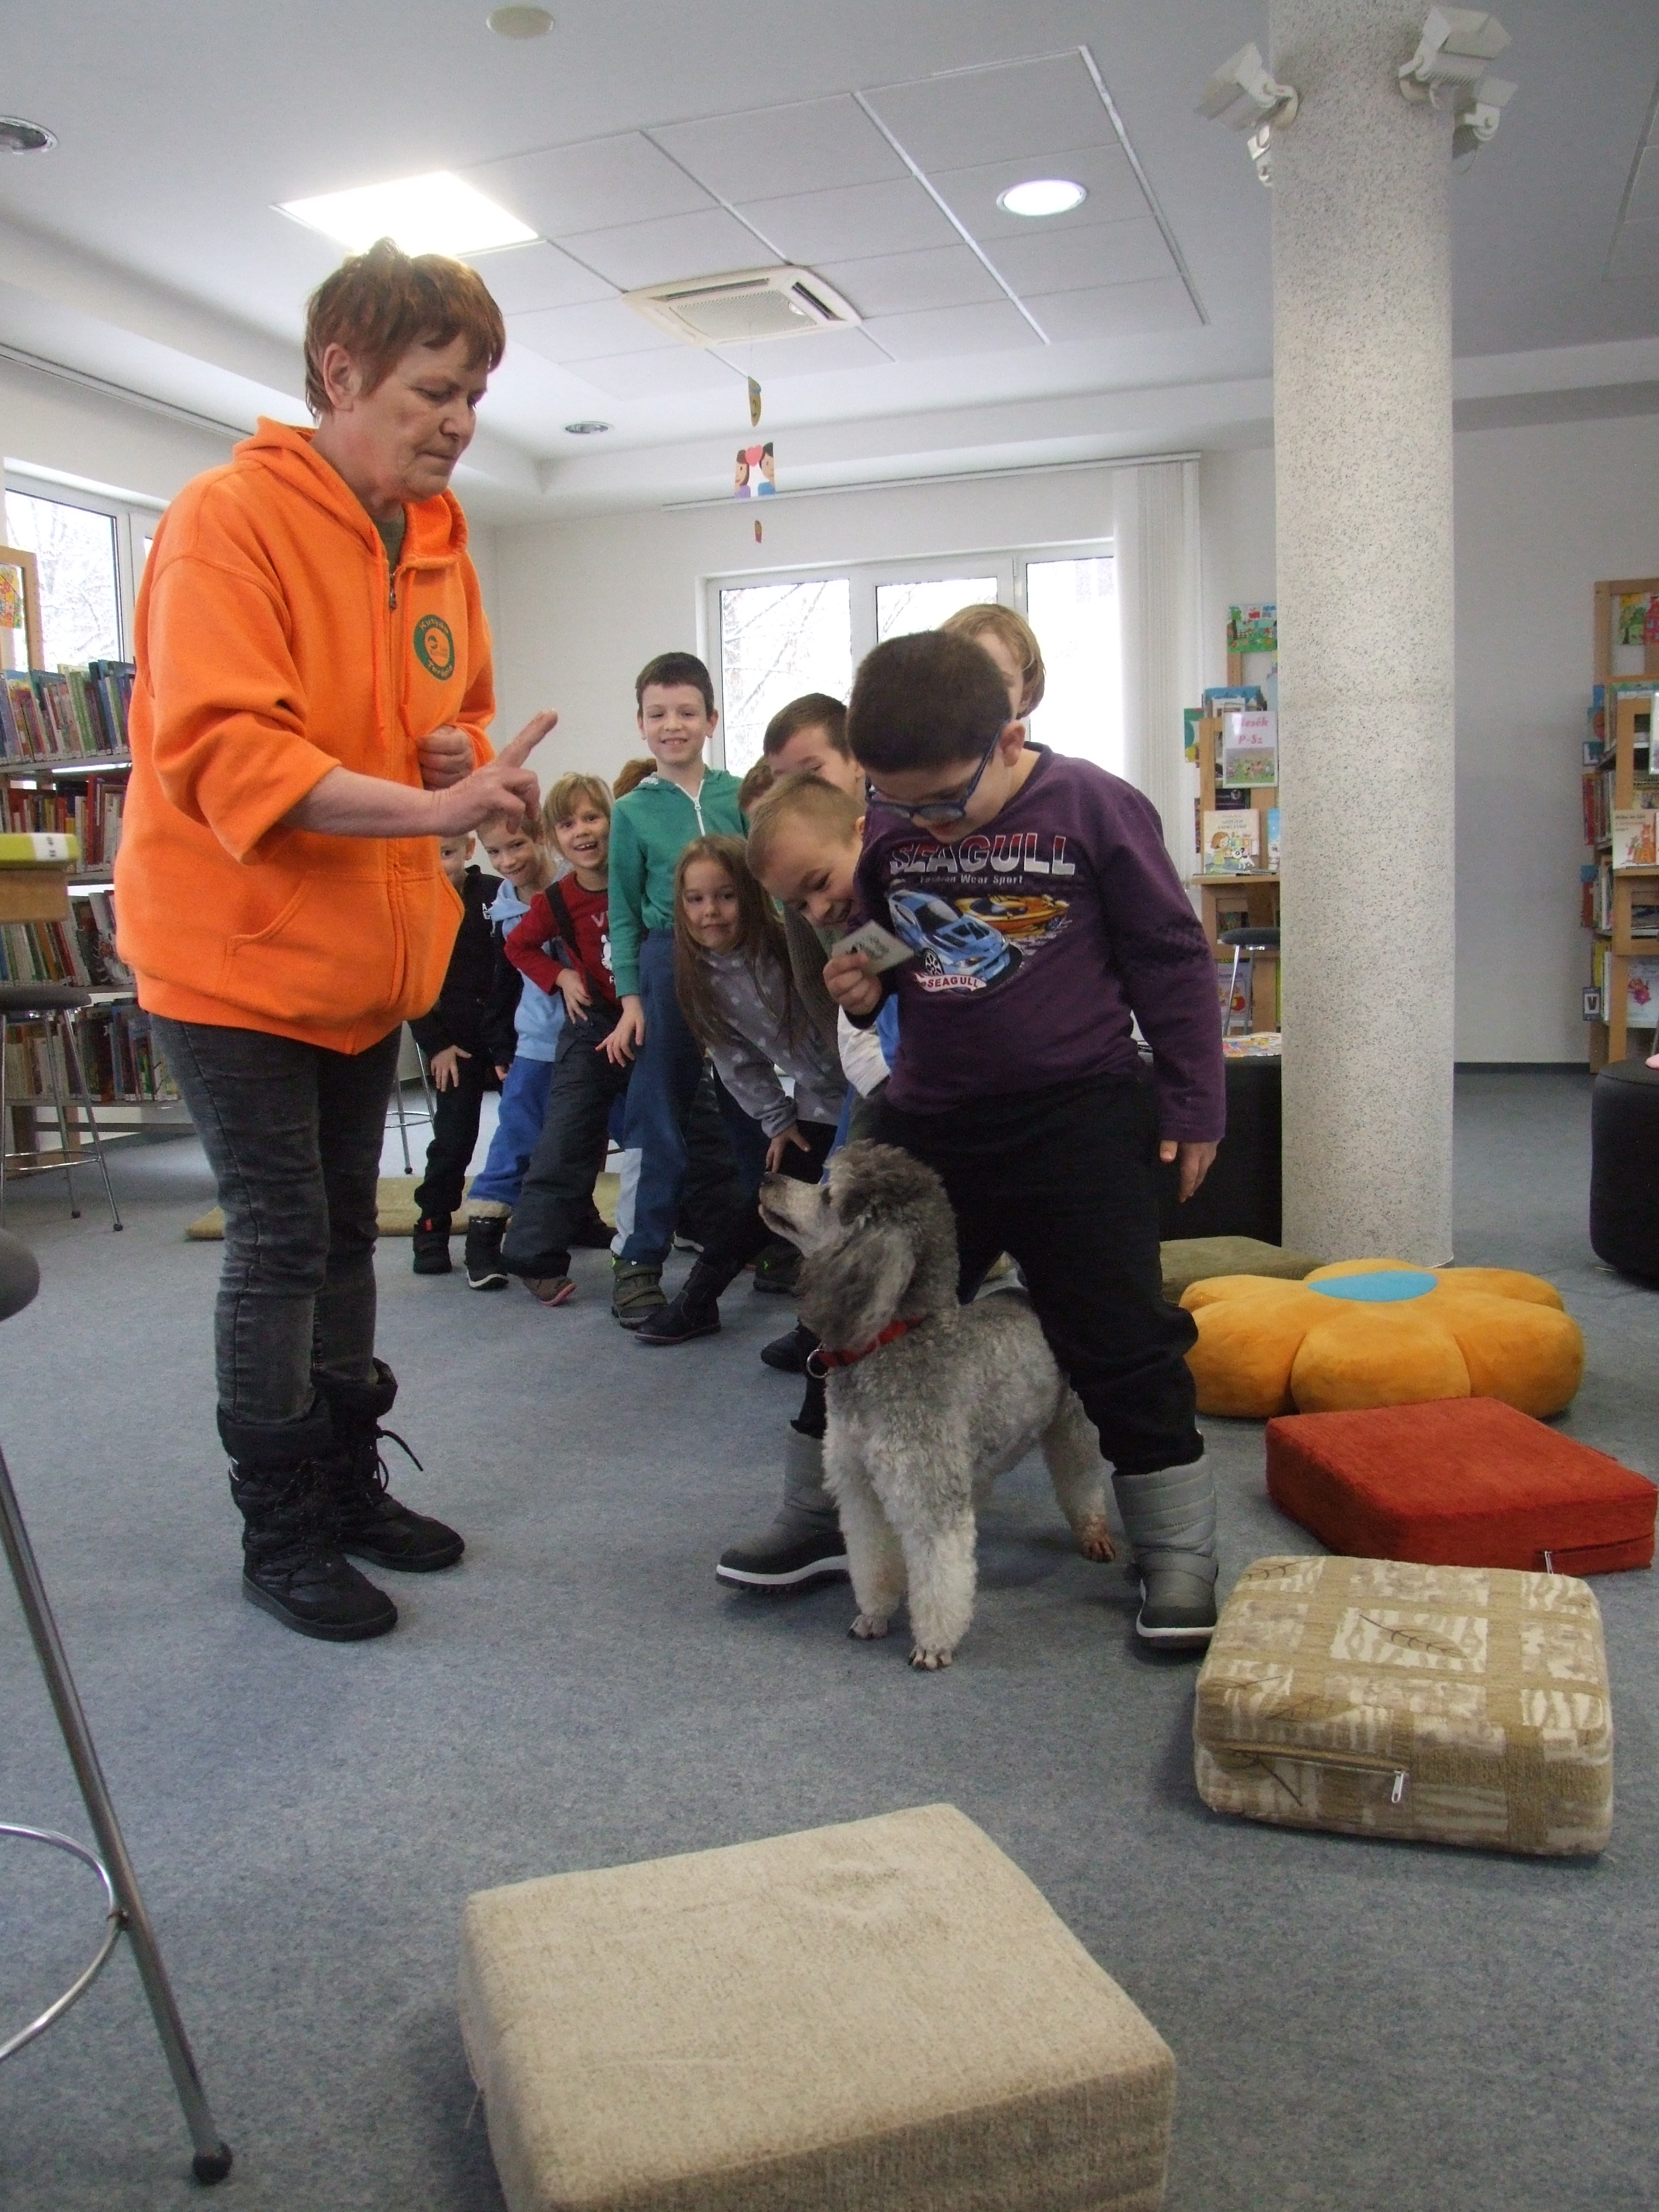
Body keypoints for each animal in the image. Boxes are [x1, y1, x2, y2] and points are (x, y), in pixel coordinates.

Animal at [759, 1142, 1114, 1670]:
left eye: (828, 1194)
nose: (767, 1178)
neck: (892, 1339)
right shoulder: (861, 1488)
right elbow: (873, 1557)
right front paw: (874, 1615)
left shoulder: (925, 1492)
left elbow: (939, 1571)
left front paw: (934, 1643)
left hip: (1072, 1426)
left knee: (1082, 1479)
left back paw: (1093, 1531)